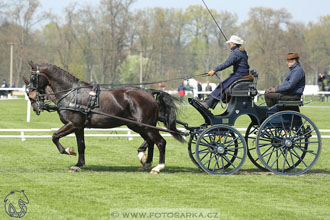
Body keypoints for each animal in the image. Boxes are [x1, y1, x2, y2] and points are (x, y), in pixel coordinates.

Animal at [25, 61, 186, 173]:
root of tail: (149, 93)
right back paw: (145, 162)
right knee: (151, 141)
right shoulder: (79, 127)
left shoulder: (73, 124)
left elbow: (54, 136)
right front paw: (78, 165)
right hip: (137, 126)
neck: (71, 94)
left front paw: (68, 151)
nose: (31, 97)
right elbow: (81, 145)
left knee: (160, 142)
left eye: (33, 77)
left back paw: (157, 167)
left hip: (145, 126)